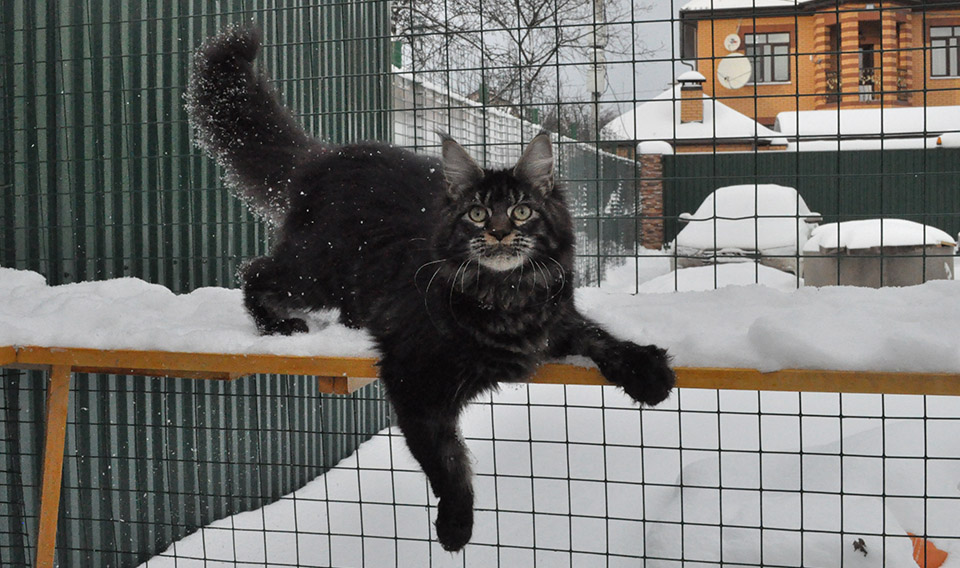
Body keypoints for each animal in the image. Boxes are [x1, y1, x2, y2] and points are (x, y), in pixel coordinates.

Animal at [184, 24, 672, 552]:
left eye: (521, 210)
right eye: (477, 213)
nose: (498, 232)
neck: (505, 295)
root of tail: (326, 156)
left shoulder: (555, 320)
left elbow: (603, 338)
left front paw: (648, 372)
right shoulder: (413, 377)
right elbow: (447, 459)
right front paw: (456, 524)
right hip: (315, 271)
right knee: (255, 272)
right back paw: (278, 325)